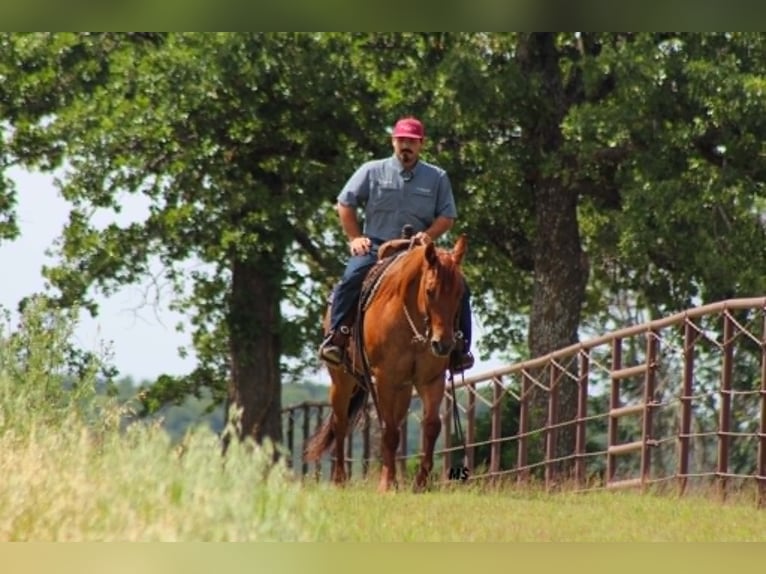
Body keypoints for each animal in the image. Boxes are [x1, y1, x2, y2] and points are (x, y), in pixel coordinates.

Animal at [304, 233, 467, 492]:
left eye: (460, 293)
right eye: (430, 291)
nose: (443, 345)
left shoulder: (431, 380)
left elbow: (431, 426)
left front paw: (421, 483)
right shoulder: (384, 379)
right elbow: (388, 431)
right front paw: (387, 483)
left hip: (403, 388)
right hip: (341, 380)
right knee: (340, 424)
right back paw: (340, 479)